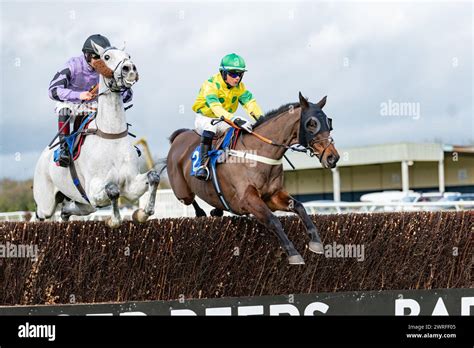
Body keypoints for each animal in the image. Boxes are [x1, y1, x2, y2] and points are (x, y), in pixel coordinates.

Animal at [33, 40, 160, 227]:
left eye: (128, 56)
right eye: (106, 57)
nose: (129, 69)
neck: (111, 135)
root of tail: (43, 157)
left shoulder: (130, 186)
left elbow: (153, 177)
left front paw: (143, 213)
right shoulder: (94, 189)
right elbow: (112, 189)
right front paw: (114, 220)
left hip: (84, 202)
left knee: (70, 208)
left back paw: (65, 213)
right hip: (46, 202)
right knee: (40, 214)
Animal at [166, 92, 336, 264]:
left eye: (329, 123)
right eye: (311, 124)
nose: (332, 157)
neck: (257, 153)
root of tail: (179, 137)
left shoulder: (273, 196)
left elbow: (300, 207)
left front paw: (316, 243)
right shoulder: (247, 199)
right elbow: (273, 221)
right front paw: (294, 254)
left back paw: (215, 210)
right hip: (183, 192)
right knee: (189, 200)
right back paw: (202, 211)